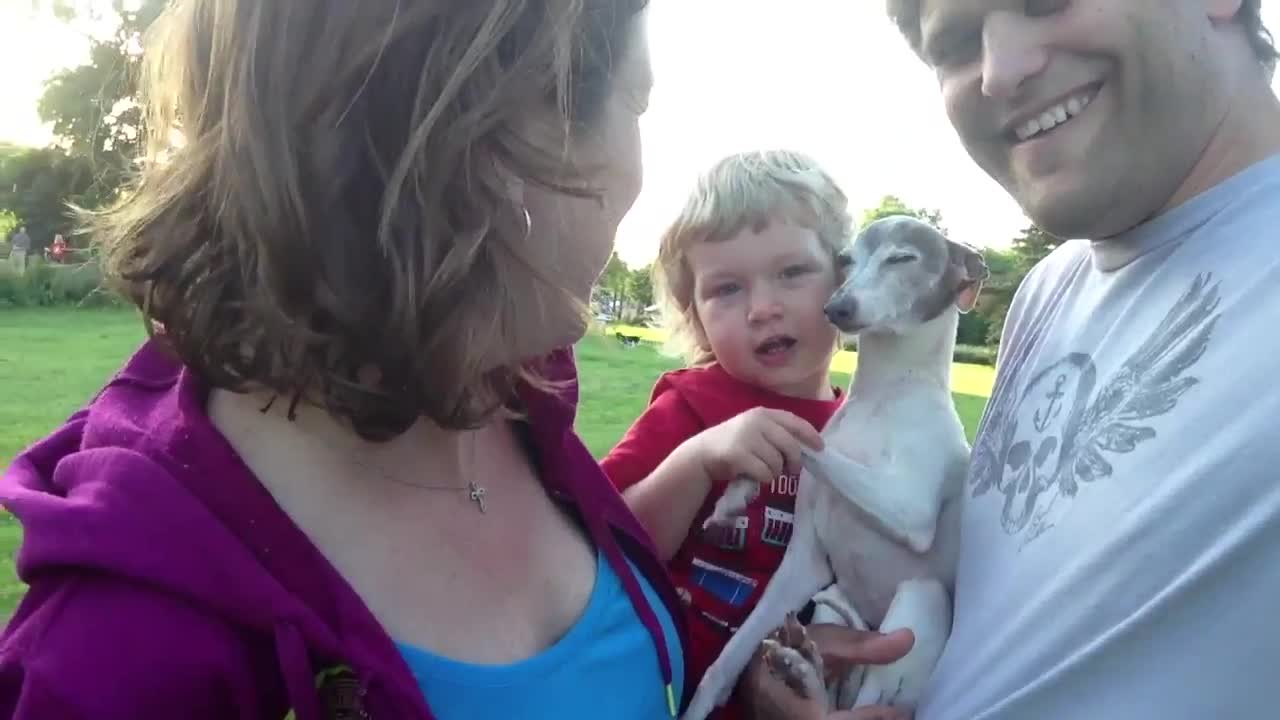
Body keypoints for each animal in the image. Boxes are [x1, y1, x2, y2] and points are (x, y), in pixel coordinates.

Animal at [680, 215, 988, 712]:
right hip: (832, 600)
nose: (837, 308)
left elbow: (814, 447)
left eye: (903, 258)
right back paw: (802, 667)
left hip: (920, 600)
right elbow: (723, 664)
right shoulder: (804, 561)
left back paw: (805, 677)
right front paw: (737, 492)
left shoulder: (911, 511)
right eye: (845, 260)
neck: (883, 398)